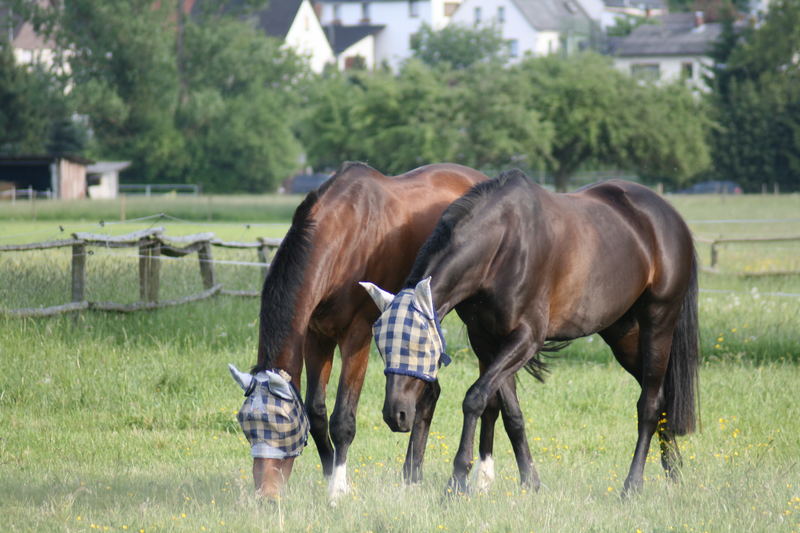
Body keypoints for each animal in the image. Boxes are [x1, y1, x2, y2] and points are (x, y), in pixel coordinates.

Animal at [244, 161, 512, 498]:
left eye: (283, 426)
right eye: (247, 428)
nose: (265, 496)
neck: (343, 234)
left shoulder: (357, 336)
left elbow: (343, 419)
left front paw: (338, 489)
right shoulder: (317, 337)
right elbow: (316, 412)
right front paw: (329, 474)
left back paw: (483, 476)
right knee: (429, 393)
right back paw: (412, 474)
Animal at [366, 169, 696, 494]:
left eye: (419, 344)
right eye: (381, 347)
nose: (395, 414)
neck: (501, 245)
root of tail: (669, 216)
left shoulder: (526, 338)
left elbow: (475, 398)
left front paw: (458, 479)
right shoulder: (488, 340)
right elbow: (511, 413)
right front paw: (530, 481)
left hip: (658, 323)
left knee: (648, 405)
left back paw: (633, 485)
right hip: (623, 335)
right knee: (661, 397)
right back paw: (674, 472)